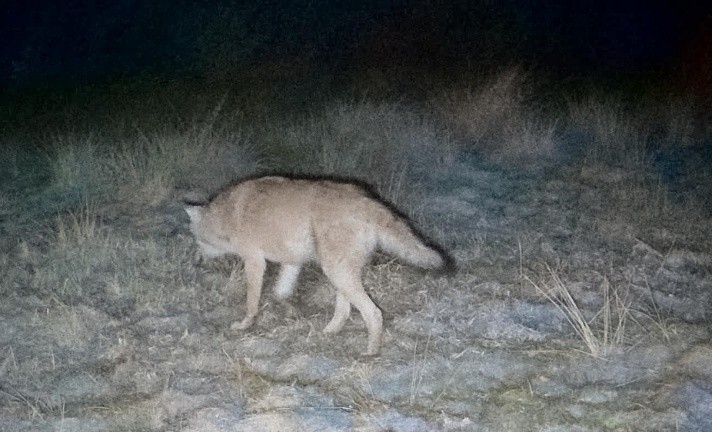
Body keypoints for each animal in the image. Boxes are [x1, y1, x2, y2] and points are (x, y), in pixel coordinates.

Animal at [184, 175, 453, 355]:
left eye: (196, 241)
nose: (194, 263)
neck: (226, 214)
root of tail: (368, 201)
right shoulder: (292, 262)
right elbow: (281, 293)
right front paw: (291, 312)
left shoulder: (254, 261)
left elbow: (252, 303)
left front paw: (244, 325)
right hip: (339, 274)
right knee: (345, 310)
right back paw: (329, 332)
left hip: (337, 272)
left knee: (373, 313)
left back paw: (370, 353)